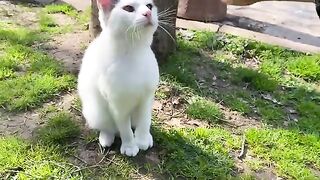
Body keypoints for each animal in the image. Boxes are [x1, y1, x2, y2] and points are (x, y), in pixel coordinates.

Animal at [78, 0, 160, 156]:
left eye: (149, 6)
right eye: (128, 8)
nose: (148, 13)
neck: (134, 52)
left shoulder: (147, 96)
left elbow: (145, 120)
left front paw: (142, 139)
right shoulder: (117, 104)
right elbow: (125, 128)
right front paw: (130, 146)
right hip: (95, 112)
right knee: (109, 127)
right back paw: (106, 138)